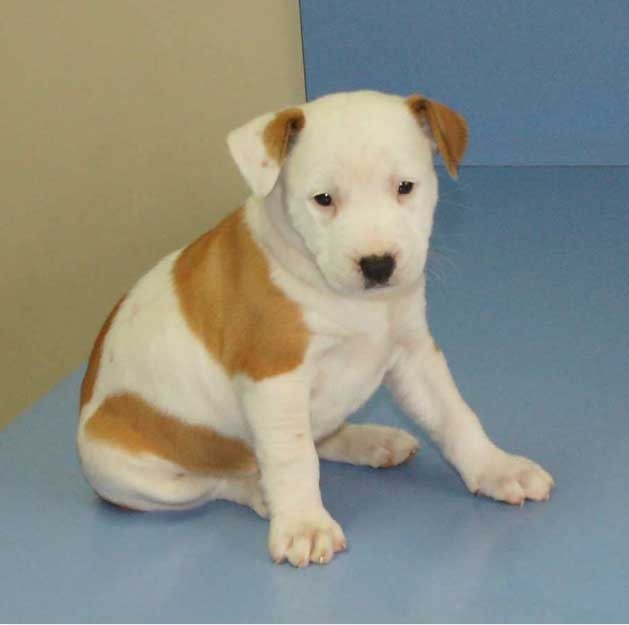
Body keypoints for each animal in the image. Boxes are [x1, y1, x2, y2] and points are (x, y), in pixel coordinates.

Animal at [77, 90, 554, 567]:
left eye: (405, 187)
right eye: (323, 199)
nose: (378, 265)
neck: (349, 302)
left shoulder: (414, 353)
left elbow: (455, 416)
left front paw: (497, 468)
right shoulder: (274, 379)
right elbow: (292, 457)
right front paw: (303, 524)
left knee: (320, 437)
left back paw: (372, 440)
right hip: (130, 474)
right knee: (219, 484)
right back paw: (262, 494)